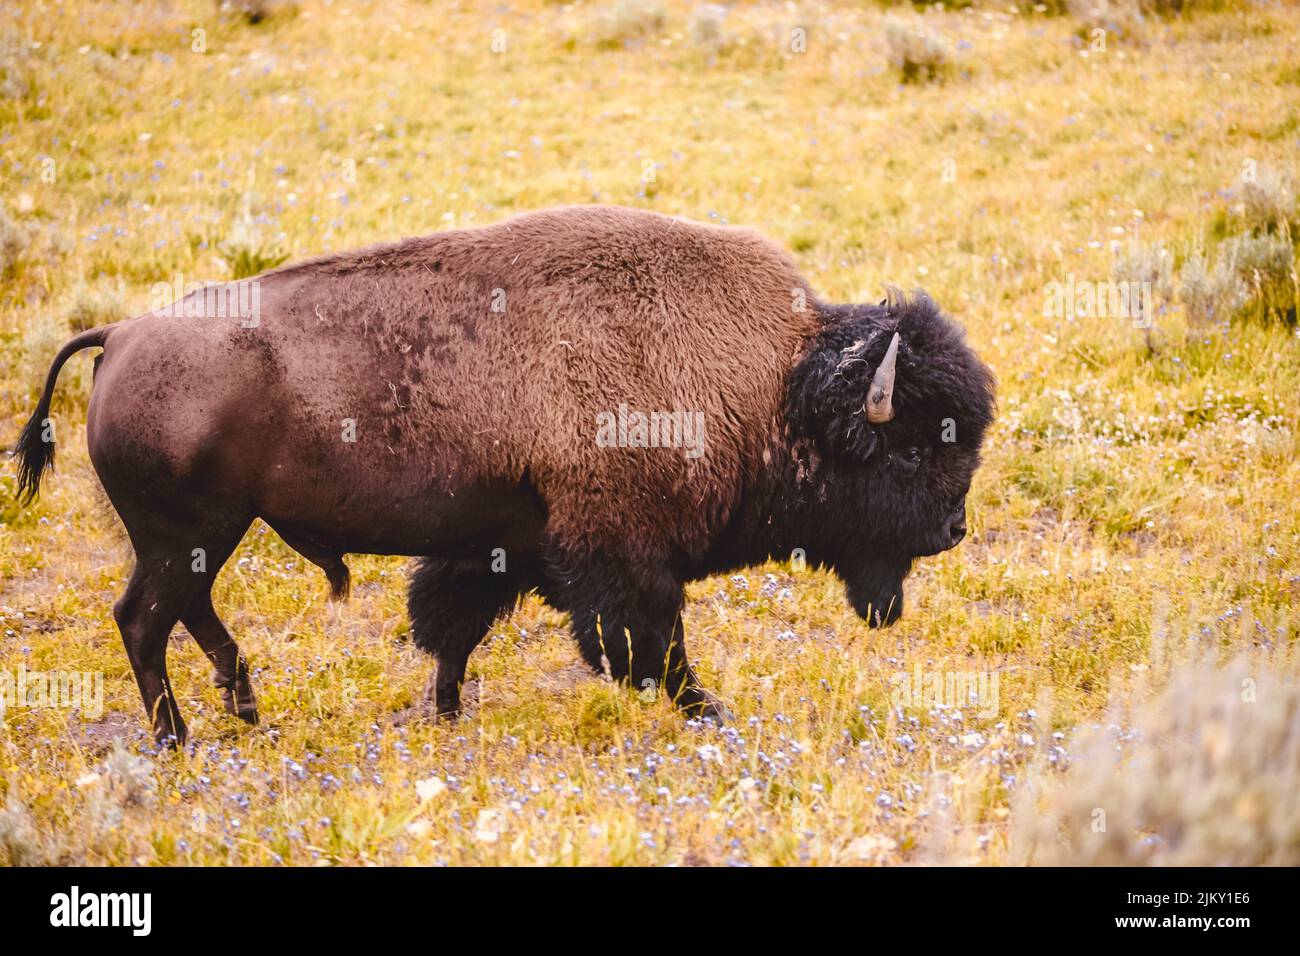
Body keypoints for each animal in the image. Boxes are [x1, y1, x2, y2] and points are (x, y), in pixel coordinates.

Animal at [12, 208, 993, 749]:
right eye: (911, 449)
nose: (953, 531)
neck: (773, 384)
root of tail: (119, 334)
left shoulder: (504, 543)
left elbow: (454, 626)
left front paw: (446, 712)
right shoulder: (618, 554)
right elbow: (654, 643)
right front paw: (706, 710)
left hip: (206, 536)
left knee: (183, 613)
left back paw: (245, 708)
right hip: (188, 535)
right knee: (143, 620)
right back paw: (181, 738)